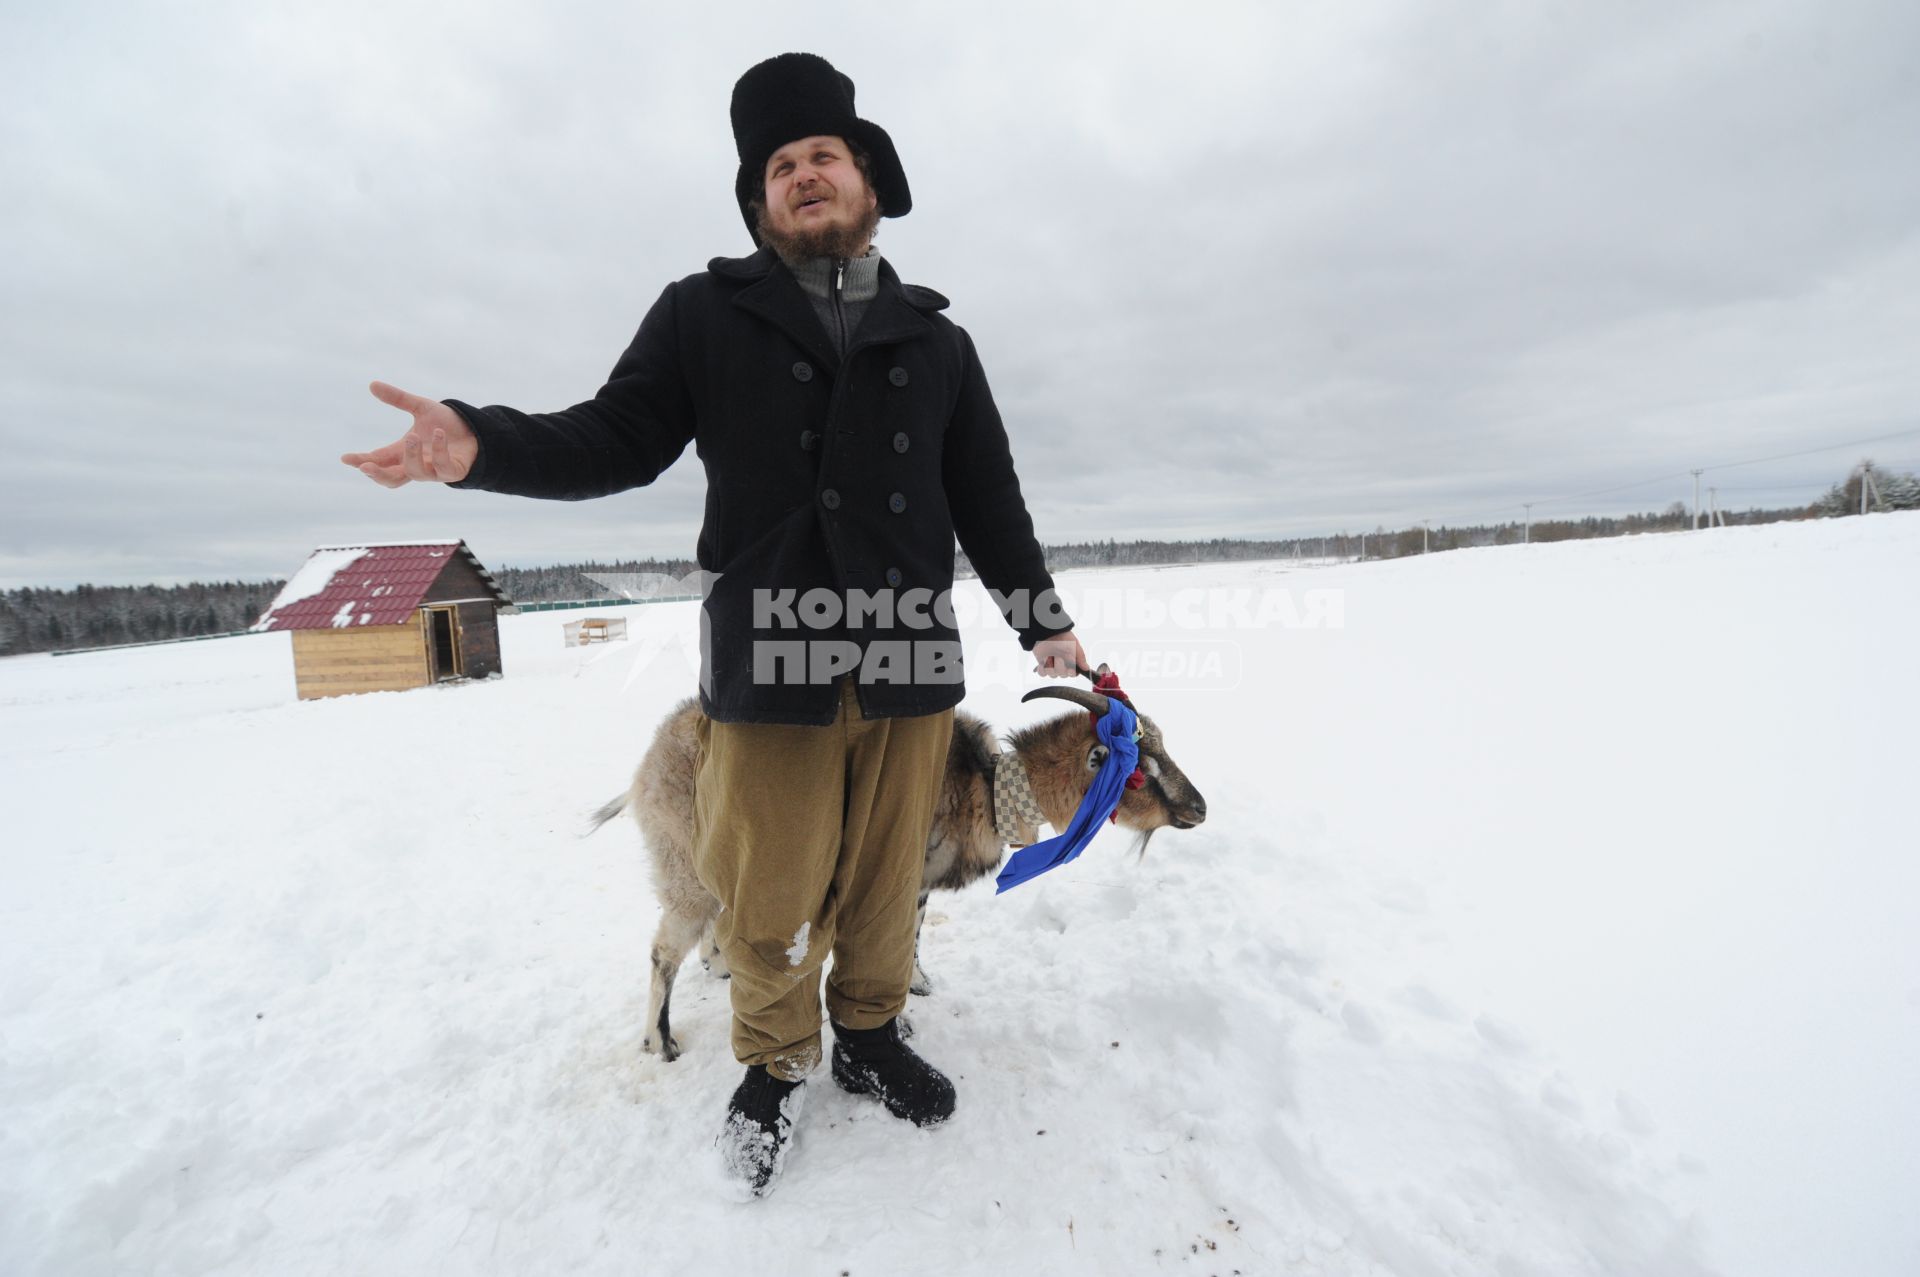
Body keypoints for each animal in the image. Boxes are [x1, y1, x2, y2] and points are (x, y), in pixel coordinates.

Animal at [591, 683, 1205, 1060]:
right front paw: (897, 1021)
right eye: (1138, 770)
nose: (1199, 808)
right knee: (662, 951)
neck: (985, 784)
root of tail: (642, 772)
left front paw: (918, 984)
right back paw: (660, 1043)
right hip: (684, 865)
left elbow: (911, 943)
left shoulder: (919, 885)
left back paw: (718, 968)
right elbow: (885, 946)